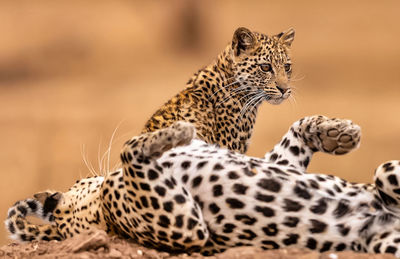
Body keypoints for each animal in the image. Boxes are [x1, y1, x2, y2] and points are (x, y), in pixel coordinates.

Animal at [8, 116, 400, 258]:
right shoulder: (188, 226)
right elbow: (129, 147)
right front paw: (177, 131)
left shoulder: (278, 163)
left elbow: (294, 134)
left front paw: (336, 132)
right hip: (384, 203)